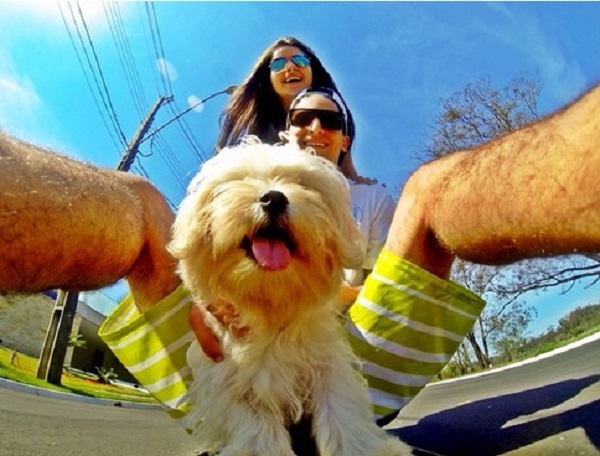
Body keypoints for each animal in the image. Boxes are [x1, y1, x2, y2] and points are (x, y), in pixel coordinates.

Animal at [170, 140, 412, 456]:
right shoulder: (231, 379)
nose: (273, 198)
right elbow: (257, 428)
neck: (272, 304)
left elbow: (341, 409)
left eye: (301, 183)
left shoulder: (327, 364)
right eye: (241, 180)